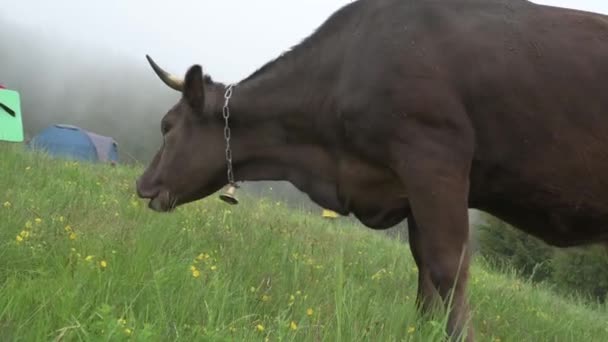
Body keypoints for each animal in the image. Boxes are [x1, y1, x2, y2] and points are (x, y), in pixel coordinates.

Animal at [135, 0, 608, 340]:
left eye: (167, 126)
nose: (141, 186)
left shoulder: (434, 159)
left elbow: (448, 266)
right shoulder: (406, 186)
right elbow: (424, 272)